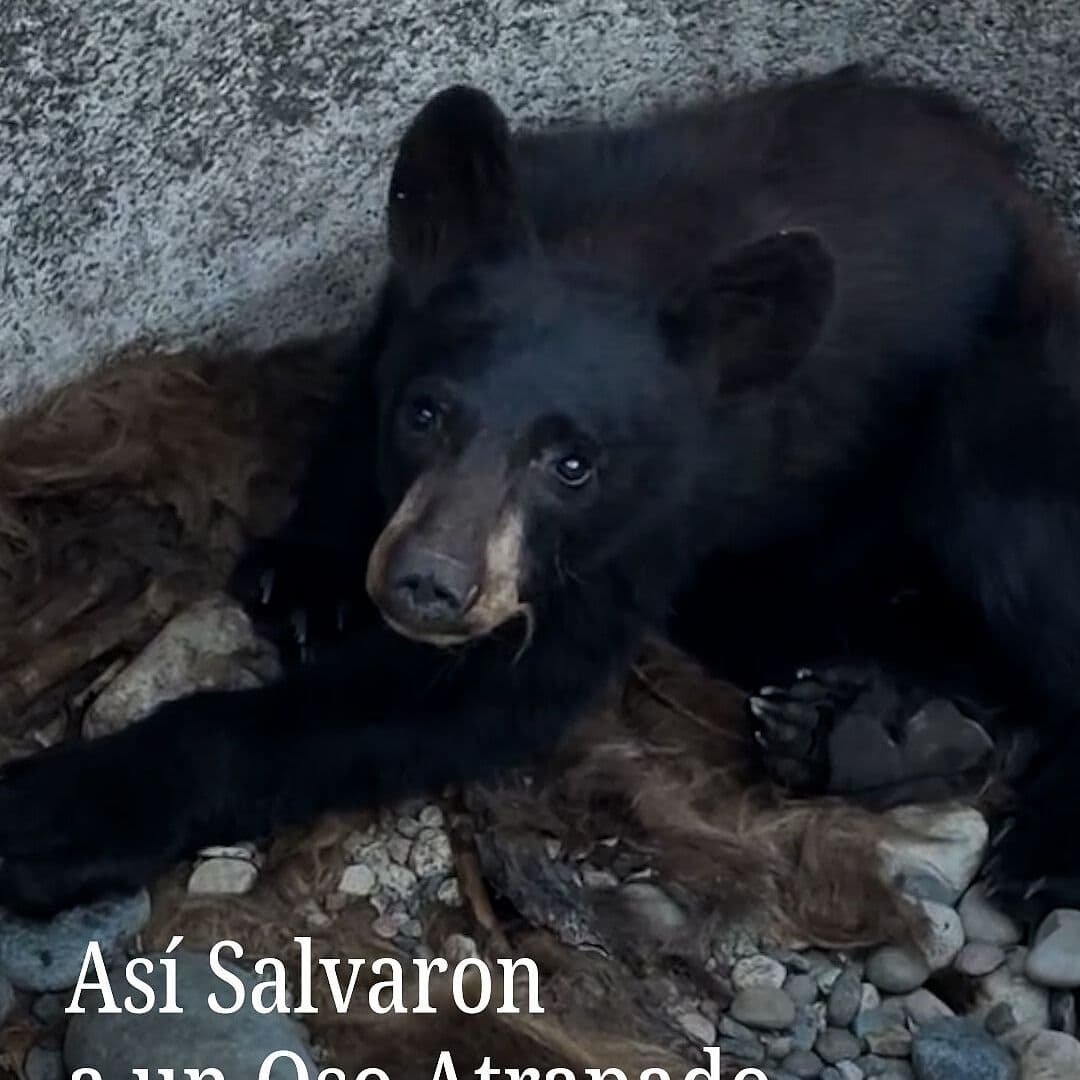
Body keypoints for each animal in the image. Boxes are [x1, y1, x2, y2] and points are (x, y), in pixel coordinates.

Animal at [0, 65, 1077, 920]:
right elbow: (357, 407)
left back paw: (1030, 847)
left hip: (1003, 397)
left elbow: (483, 691)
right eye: (425, 412)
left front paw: (60, 814)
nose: (428, 583)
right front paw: (307, 573)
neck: (626, 247)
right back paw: (866, 728)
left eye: (574, 464)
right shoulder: (418, 309)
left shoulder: (636, 524)